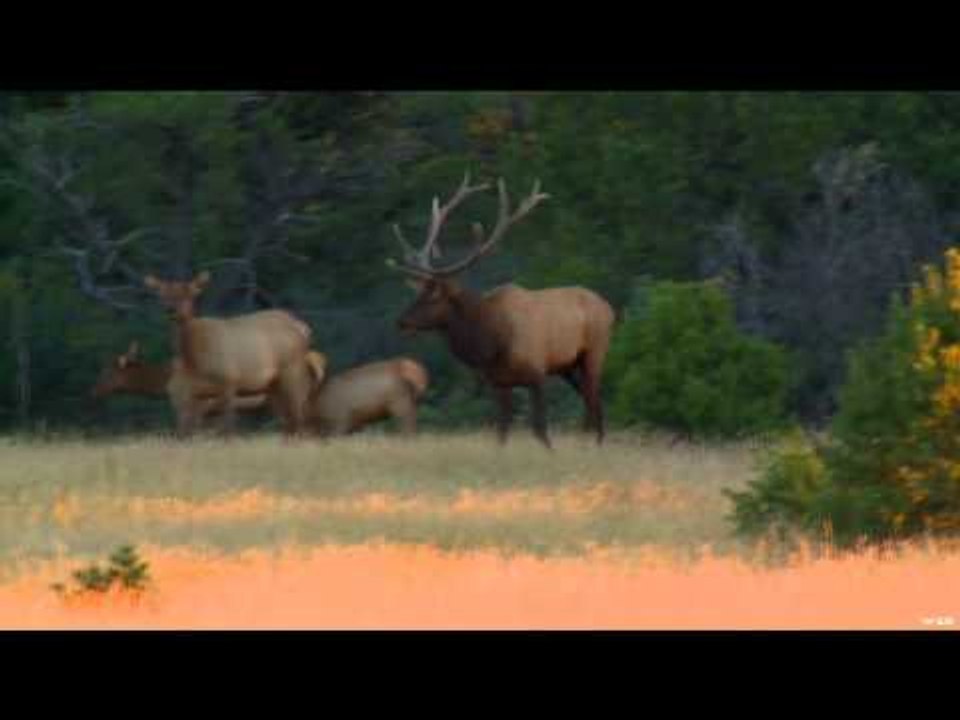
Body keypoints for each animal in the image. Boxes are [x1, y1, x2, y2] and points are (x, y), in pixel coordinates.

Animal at [143, 271, 314, 437]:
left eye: (189, 293)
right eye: (161, 294)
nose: (171, 310)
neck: (193, 359)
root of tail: (303, 327)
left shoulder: (229, 380)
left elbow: (227, 428)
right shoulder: (185, 394)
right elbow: (186, 432)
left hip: (292, 371)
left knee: (299, 418)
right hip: (272, 385)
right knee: (289, 422)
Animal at [386, 172, 615, 449]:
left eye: (433, 296)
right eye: (417, 293)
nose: (401, 322)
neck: (490, 343)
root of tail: (609, 307)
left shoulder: (537, 374)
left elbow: (540, 429)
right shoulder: (498, 383)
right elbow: (502, 431)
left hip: (594, 351)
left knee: (593, 397)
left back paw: (594, 442)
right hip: (567, 367)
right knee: (590, 399)